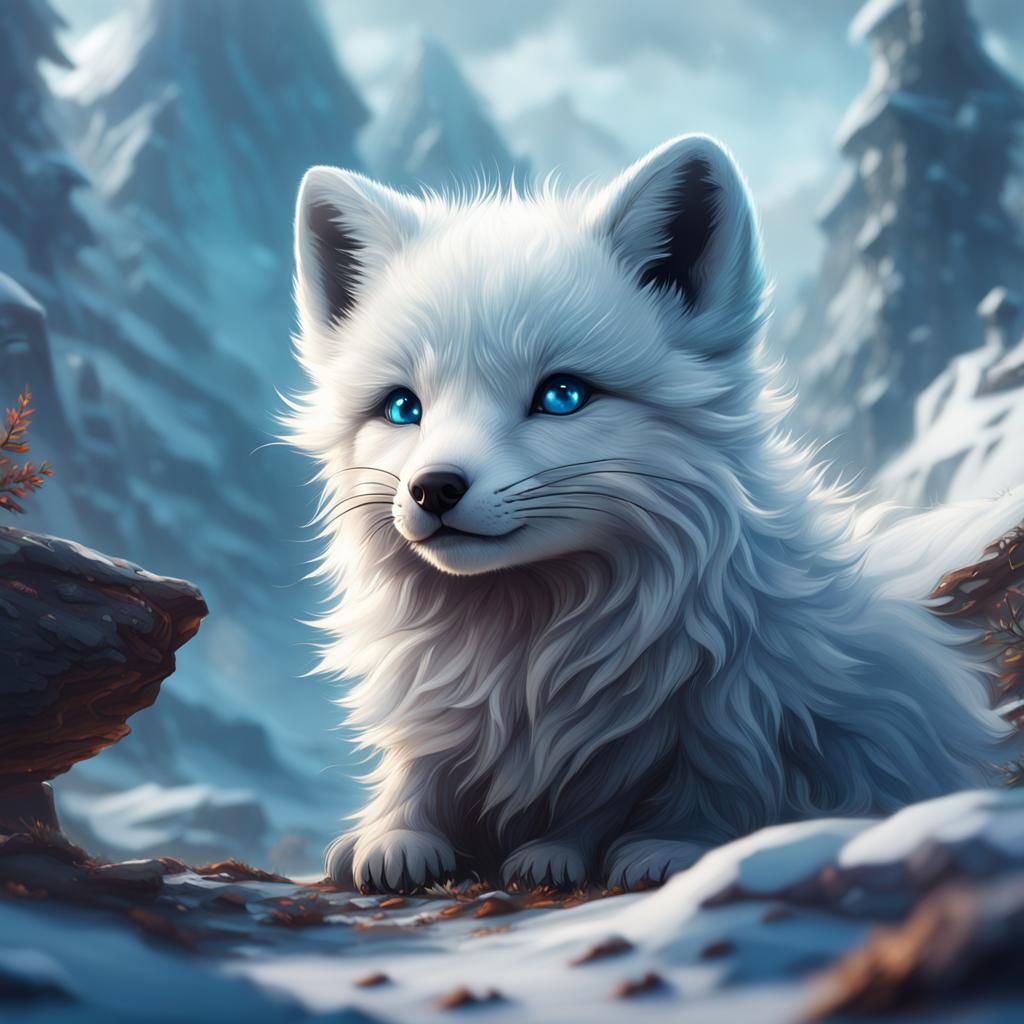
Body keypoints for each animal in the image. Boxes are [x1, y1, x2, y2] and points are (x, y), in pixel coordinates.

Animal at [286, 134, 1021, 892]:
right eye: (403, 407)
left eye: (562, 396)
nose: (433, 489)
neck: (524, 641)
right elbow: (420, 766)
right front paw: (395, 834)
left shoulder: (720, 707)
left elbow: (689, 781)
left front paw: (633, 847)